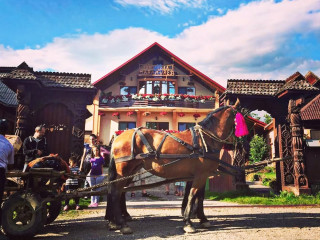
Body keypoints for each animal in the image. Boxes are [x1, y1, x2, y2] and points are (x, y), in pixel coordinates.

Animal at [107, 100, 240, 233]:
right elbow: (192, 195)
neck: (205, 139)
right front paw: (188, 222)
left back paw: (116, 220)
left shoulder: (202, 175)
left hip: (131, 171)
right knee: (115, 192)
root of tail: (118, 137)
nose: (234, 145)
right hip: (124, 171)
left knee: (120, 191)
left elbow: (199, 197)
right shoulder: (200, 175)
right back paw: (122, 224)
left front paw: (203, 219)